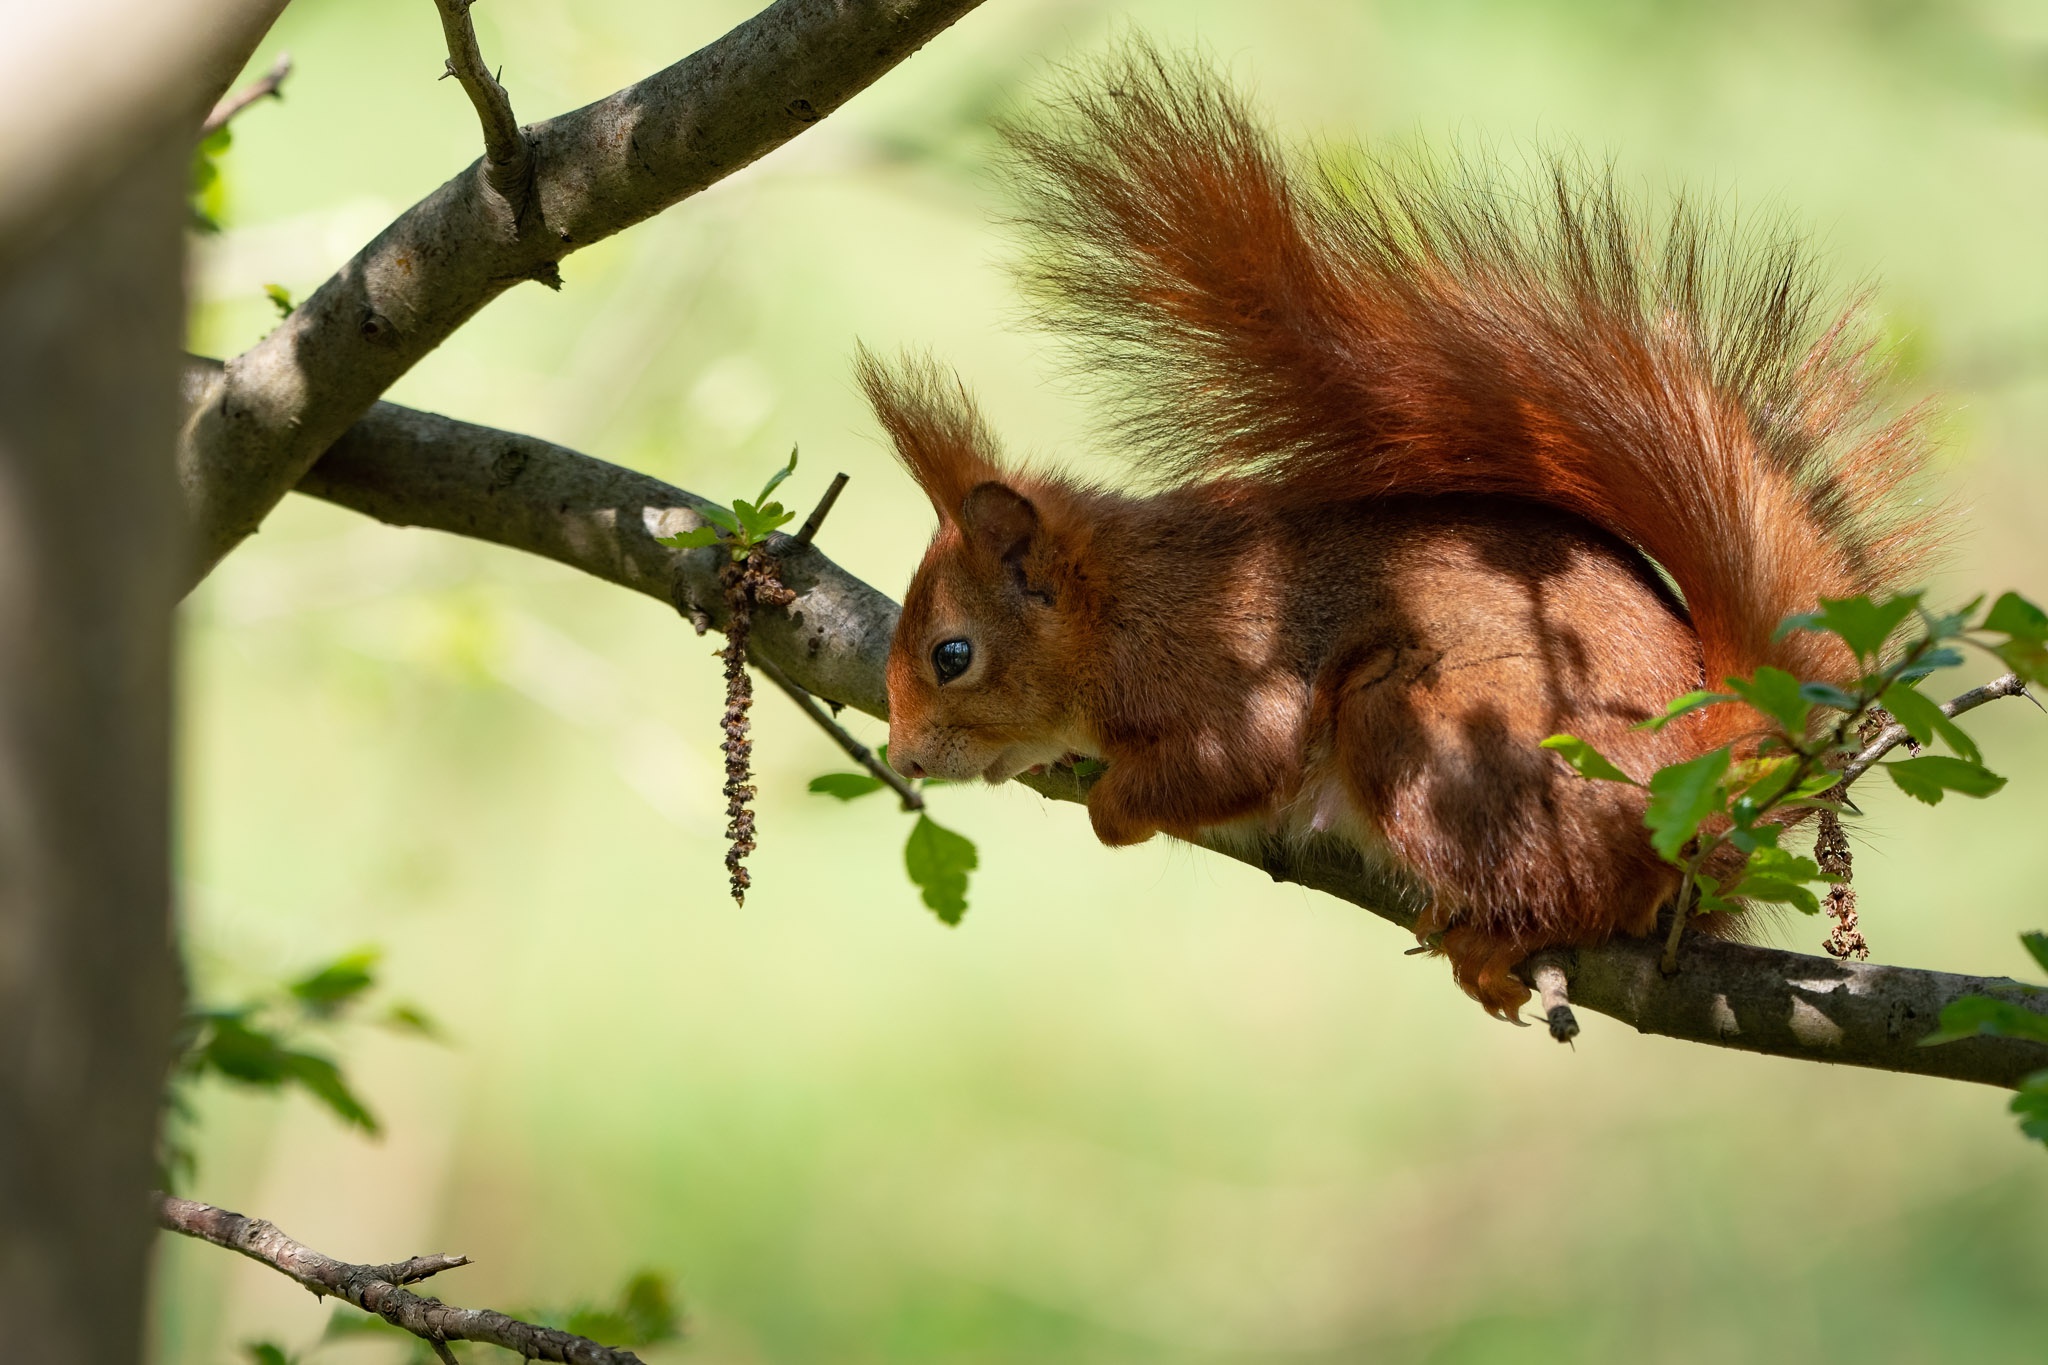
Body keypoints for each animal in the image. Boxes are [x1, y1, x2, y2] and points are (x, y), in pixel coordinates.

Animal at [857, 45, 1944, 1020]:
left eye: (952, 655)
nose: (903, 759)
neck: (1115, 600)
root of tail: (1702, 795)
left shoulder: (1213, 669)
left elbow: (1236, 763)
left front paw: (1114, 809)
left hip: (1425, 727)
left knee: (1586, 890)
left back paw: (1498, 939)